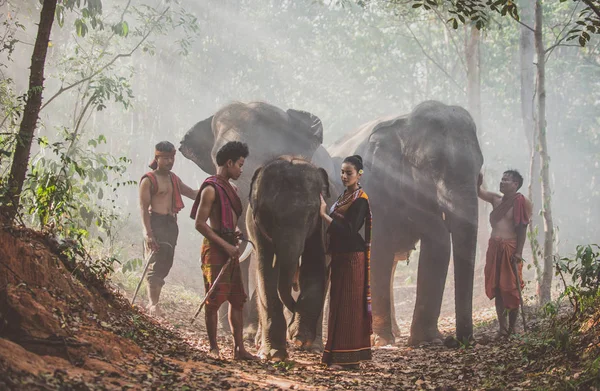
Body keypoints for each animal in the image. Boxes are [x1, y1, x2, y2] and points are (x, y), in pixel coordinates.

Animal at [247, 156, 330, 362]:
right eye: (269, 215)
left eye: (311, 214)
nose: (294, 308)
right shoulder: (257, 227)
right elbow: (266, 271)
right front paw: (274, 354)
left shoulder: (320, 224)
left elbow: (315, 264)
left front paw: (299, 336)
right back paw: (261, 342)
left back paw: (312, 345)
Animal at [328, 101, 482, 346]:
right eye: (433, 165)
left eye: (480, 167)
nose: (458, 341)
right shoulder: (375, 189)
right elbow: (378, 249)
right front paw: (382, 340)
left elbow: (437, 244)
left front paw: (427, 340)